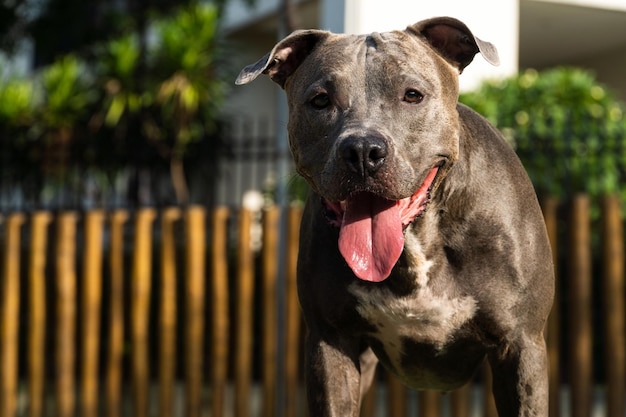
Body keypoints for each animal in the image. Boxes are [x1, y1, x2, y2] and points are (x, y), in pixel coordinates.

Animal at [236, 16, 552, 416]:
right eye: (320, 100)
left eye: (412, 94)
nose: (362, 150)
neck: (416, 243)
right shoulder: (330, 342)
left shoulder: (521, 345)